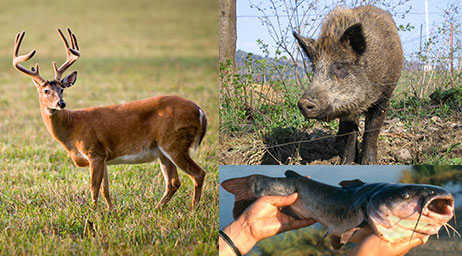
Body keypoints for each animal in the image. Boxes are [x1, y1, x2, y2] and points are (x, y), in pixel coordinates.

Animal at [13, 28, 208, 209]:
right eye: (46, 90)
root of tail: (200, 111)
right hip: (163, 151)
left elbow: (94, 188)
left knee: (198, 173)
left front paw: (93, 212)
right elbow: (105, 189)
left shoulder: (95, 151)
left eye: (62, 89)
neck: (72, 127)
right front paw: (110, 211)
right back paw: (157, 208)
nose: (61, 103)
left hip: (175, 142)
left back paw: (193, 209)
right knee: (174, 182)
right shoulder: (103, 157)